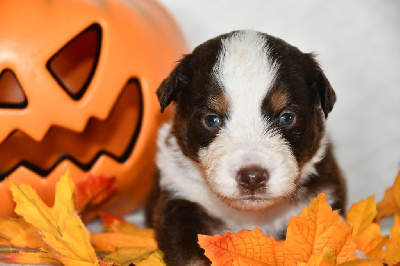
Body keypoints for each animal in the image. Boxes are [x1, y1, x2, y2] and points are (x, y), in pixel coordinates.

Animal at [145, 29, 346, 266]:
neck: (251, 214)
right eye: (211, 120)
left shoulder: (322, 197)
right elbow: (191, 255)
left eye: (287, 117)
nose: (252, 177)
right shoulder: (180, 200)